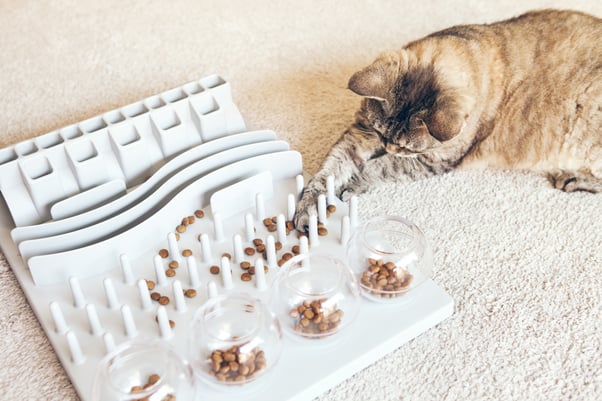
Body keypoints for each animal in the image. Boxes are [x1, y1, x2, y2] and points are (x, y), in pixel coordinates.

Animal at [292, 9, 596, 230]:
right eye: (381, 136)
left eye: (405, 147)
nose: (388, 147)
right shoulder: (361, 132)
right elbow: (330, 170)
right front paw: (311, 206)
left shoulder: (431, 161)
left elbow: (379, 167)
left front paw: (355, 182)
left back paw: (572, 178)